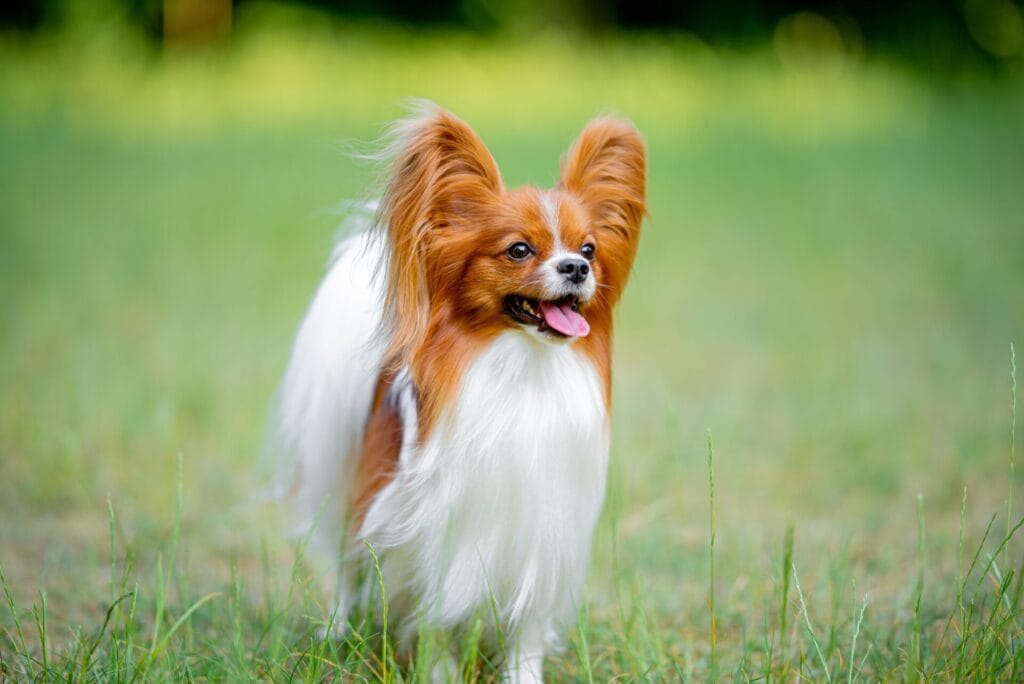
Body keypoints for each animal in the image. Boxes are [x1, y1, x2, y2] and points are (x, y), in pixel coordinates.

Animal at [272, 102, 638, 684]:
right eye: (519, 250)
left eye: (589, 250)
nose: (577, 268)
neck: (524, 369)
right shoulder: (435, 539)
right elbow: (435, 625)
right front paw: (440, 672)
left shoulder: (542, 538)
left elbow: (525, 634)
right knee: (350, 567)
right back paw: (336, 632)